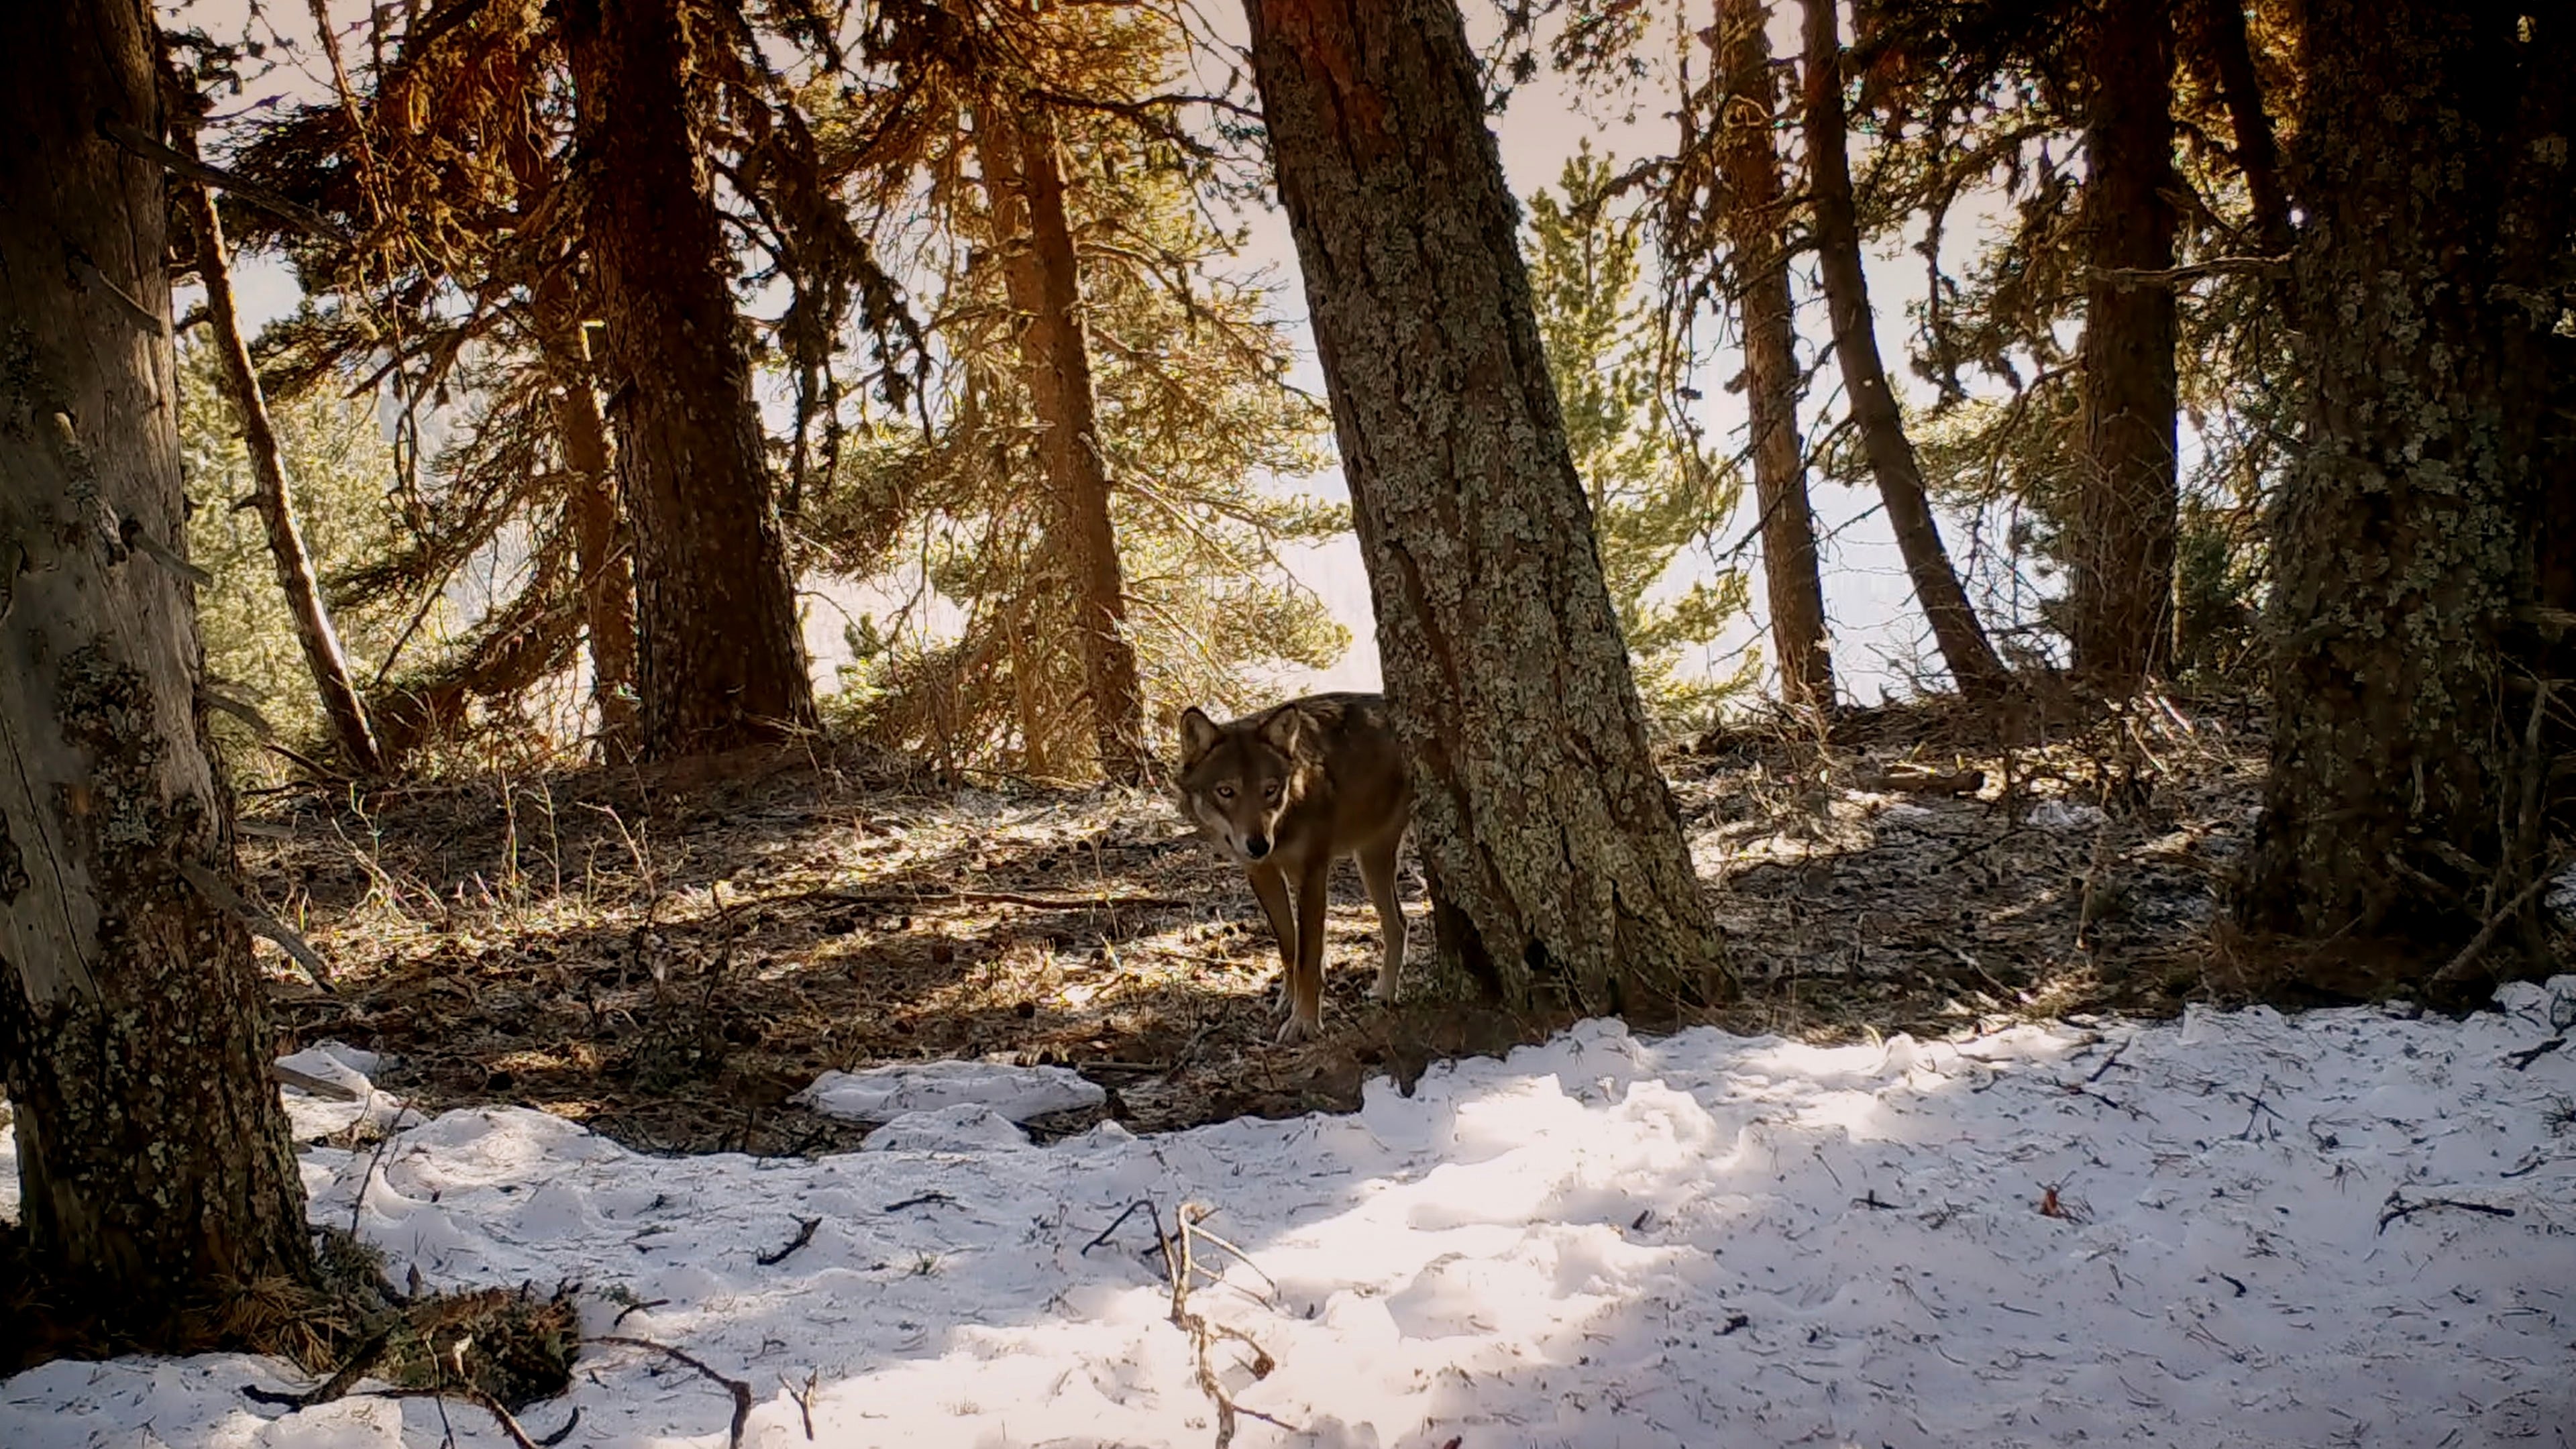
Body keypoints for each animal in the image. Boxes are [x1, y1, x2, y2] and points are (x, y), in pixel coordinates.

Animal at [1179, 686, 1421, 1036]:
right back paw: (1383, 994)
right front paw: (1287, 1002)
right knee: (1399, 924)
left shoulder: (1312, 873)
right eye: (1226, 791)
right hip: (1370, 858)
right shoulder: (1263, 874)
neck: (1285, 820)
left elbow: (1309, 957)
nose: (1258, 845)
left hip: (1373, 859)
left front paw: (1304, 1023)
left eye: (1270, 790)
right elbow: (1289, 947)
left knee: (1399, 924)